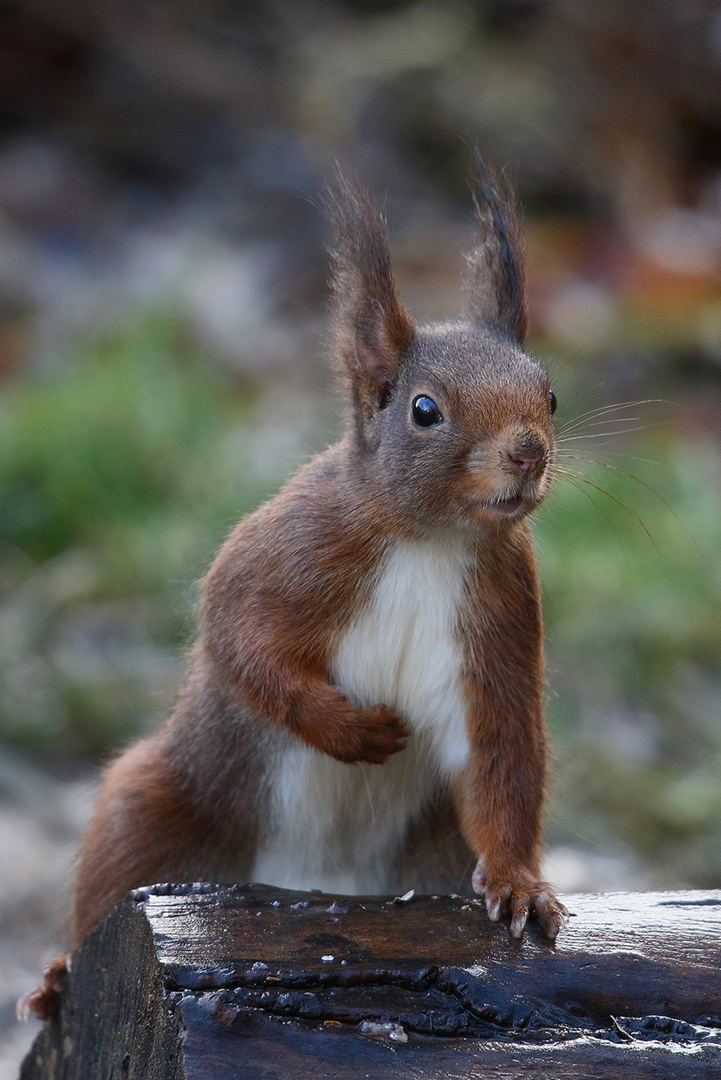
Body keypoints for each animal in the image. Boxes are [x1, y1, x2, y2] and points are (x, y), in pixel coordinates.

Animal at [25, 159, 565, 1019]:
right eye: (424, 410)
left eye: (548, 396)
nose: (527, 454)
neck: (431, 543)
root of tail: (317, 882)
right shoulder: (291, 552)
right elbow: (240, 640)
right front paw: (349, 730)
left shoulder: (501, 618)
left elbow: (504, 753)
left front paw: (518, 885)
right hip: (160, 804)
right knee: (114, 870)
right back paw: (54, 977)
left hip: (435, 852)